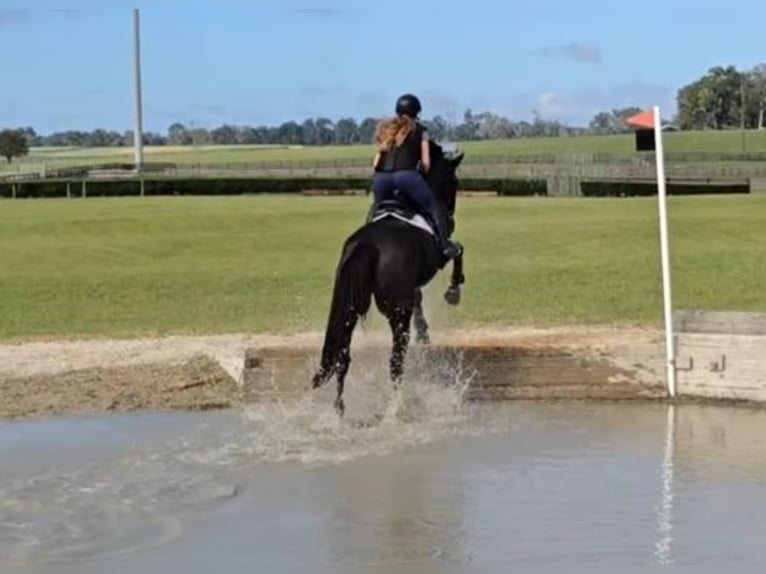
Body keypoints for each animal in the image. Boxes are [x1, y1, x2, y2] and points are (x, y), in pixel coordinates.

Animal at [308, 141, 464, 416]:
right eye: (454, 181)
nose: (451, 217)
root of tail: (366, 244)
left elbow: (419, 296)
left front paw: (424, 330)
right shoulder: (441, 255)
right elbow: (458, 251)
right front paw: (453, 292)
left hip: (350, 307)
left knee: (342, 356)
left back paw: (339, 411)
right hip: (397, 311)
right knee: (396, 361)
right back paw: (396, 408)